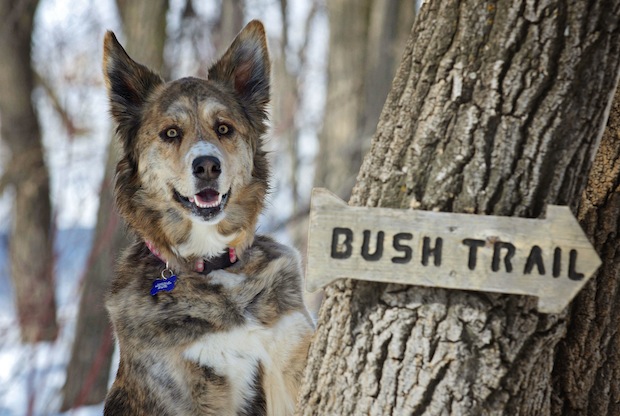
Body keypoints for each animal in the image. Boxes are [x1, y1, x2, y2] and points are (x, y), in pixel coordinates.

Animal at [103, 20, 314, 416]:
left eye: (224, 128)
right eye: (171, 133)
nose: (207, 166)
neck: (212, 263)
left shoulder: (288, 356)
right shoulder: (193, 390)